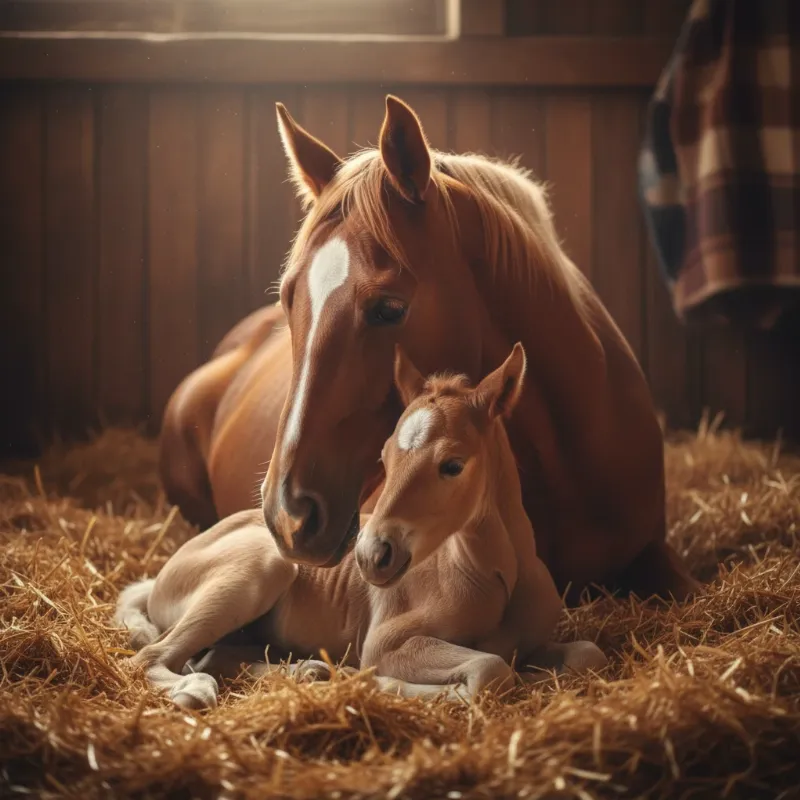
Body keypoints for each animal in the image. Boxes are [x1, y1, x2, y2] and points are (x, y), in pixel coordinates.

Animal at [117, 344, 607, 709]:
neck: (497, 575)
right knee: (152, 657)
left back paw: (307, 671)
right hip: (258, 570)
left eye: (452, 464)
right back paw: (197, 692)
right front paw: (378, 683)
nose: (371, 555)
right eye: (385, 459)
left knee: (215, 656)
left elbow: (589, 654)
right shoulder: (385, 642)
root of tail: (163, 573)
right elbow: (489, 669)